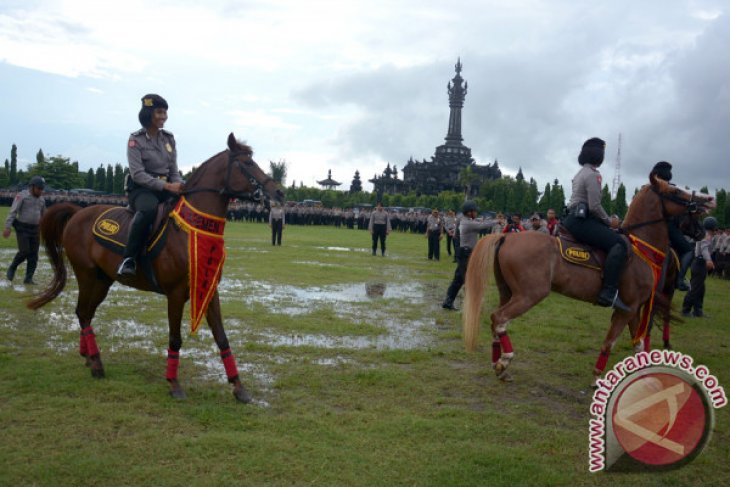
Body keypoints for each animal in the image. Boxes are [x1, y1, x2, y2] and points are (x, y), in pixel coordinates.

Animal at [25, 134, 282, 404]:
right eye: (248, 163)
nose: (279, 192)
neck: (190, 229)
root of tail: (78, 213)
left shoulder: (209, 290)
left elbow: (222, 337)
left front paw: (239, 387)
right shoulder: (176, 294)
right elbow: (175, 339)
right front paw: (174, 384)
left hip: (102, 281)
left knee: (84, 313)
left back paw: (88, 356)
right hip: (86, 275)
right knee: (83, 313)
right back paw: (96, 364)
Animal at [460, 175, 712, 386]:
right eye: (675, 191)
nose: (707, 202)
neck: (642, 248)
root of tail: (506, 236)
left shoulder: (634, 309)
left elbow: (638, 344)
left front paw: (646, 376)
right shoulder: (626, 309)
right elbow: (609, 342)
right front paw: (598, 377)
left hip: (508, 292)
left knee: (496, 322)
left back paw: (499, 365)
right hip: (529, 295)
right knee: (499, 318)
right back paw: (505, 359)